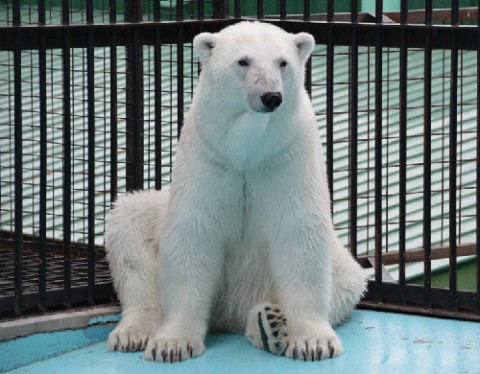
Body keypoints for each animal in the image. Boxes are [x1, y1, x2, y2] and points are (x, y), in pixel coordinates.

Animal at [106, 21, 364, 362]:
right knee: (130, 234)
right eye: (243, 61)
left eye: (283, 62)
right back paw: (133, 332)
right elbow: (194, 233)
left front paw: (313, 342)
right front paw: (172, 344)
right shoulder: (210, 156)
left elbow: (299, 233)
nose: (271, 96)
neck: (247, 151)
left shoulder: (285, 156)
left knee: (346, 277)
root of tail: (230, 313)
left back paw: (270, 324)